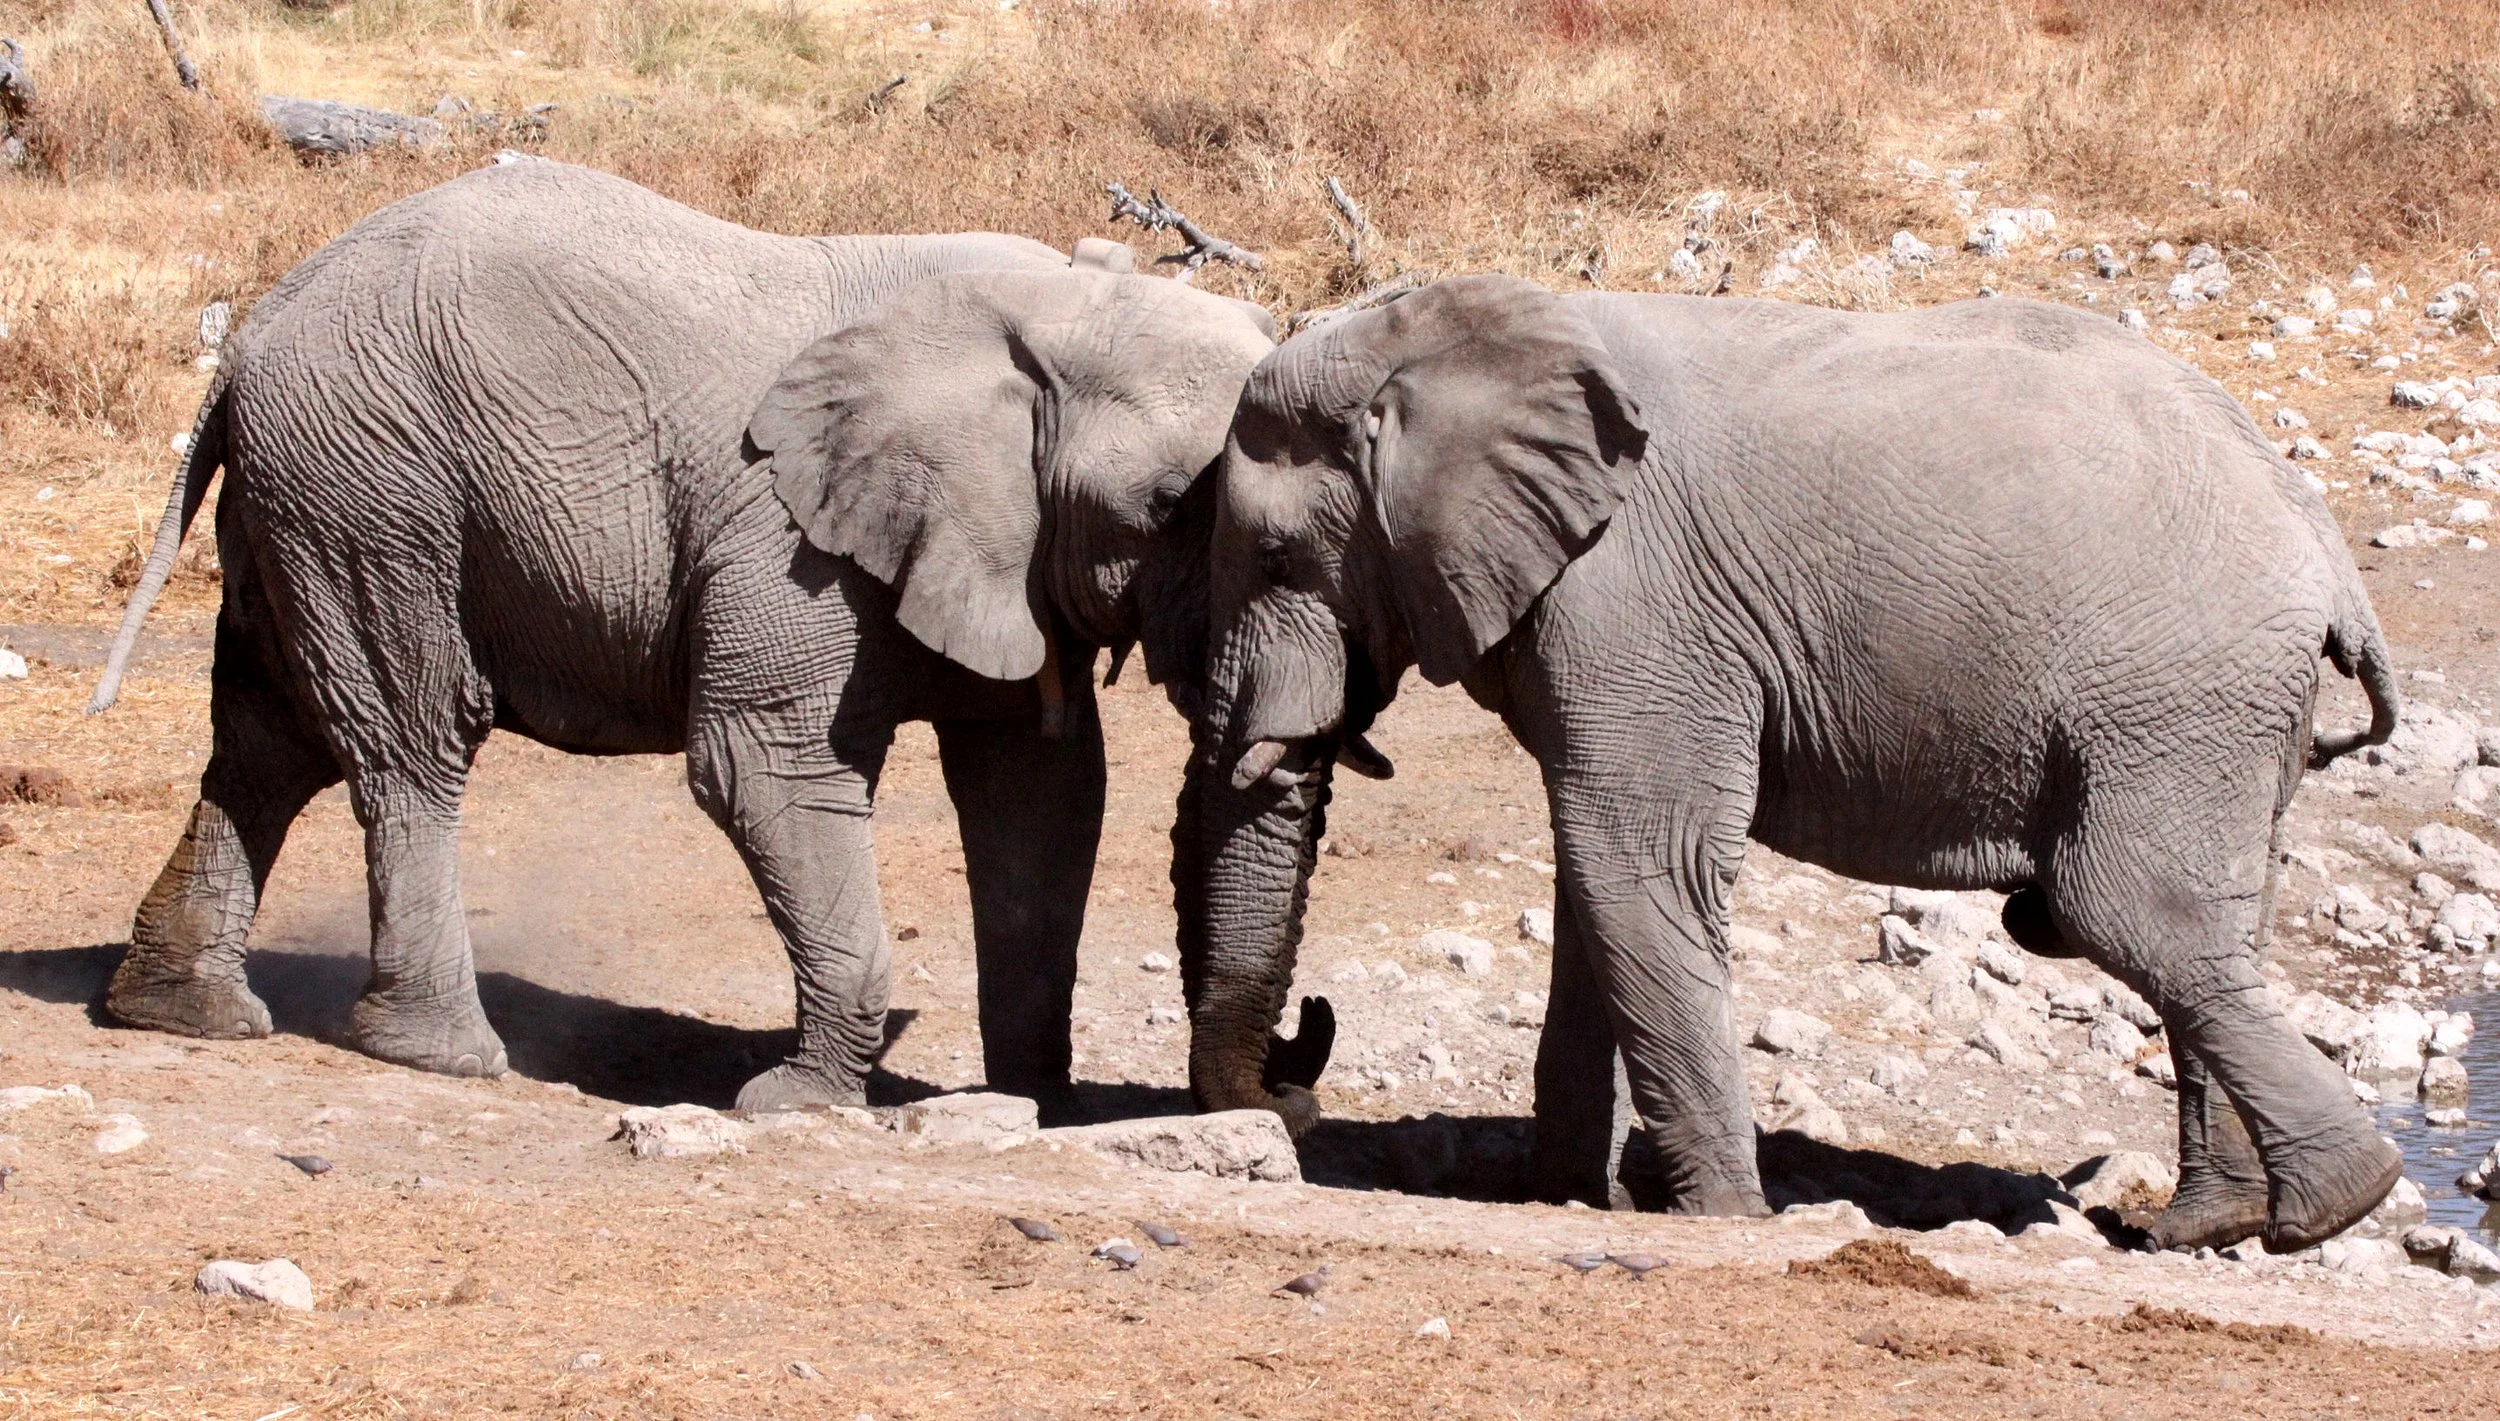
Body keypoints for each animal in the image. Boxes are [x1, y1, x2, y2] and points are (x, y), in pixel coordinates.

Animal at [87, 160, 1272, 1114]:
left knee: (265, 740)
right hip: (374, 490)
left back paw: (182, 1009)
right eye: (1172, 507)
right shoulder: (789, 540)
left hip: (307, 494)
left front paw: (1031, 1101)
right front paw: (796, 1103)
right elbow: (766, 766)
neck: (1057, 303)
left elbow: (1041, 791)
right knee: (405, 743)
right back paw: (443, 1053)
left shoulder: (997, 552)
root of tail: (249, 334)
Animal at [1183, 274, 2405, 1253]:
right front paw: (1568, 1198)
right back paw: (2203, 1229)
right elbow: (1599, 891)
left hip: (2175, 693)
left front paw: (1725, 1217)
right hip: (2222, 717)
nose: (1289, 1090)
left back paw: (2333, 1203)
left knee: (2131, 910)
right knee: (2220, 925)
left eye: (1277, 557)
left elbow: (1639, 866)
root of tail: (2331, 557)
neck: (1438, 327)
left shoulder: (1632, 599)